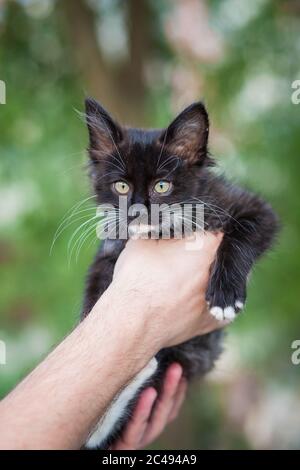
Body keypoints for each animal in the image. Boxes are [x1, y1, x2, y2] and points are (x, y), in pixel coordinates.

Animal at [81, 99, 278, 448]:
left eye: (162, 186)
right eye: (121, 186)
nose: (136, 211)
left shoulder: (253, 208)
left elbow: (240, 238)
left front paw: (226, 294)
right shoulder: (109, 251)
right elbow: (97, 291)